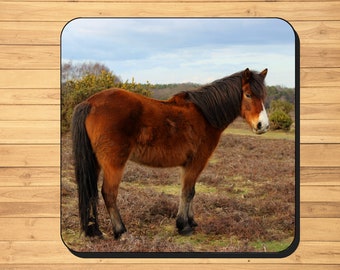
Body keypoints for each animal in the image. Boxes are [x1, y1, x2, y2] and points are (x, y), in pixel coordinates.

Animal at [71, 67, 268, 238]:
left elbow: (190, 191)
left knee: (91, 192)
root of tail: (90, 102)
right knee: (109, 193)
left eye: (264, 95)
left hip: (96, 162)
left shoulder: (188, 165)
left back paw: (94, 231)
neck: (205, 115)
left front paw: (191, 221)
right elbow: (188, 192)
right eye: (248, 94)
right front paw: (183, 226)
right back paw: (121, 231)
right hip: (114, 163)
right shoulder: (196, 162)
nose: (263, 126)